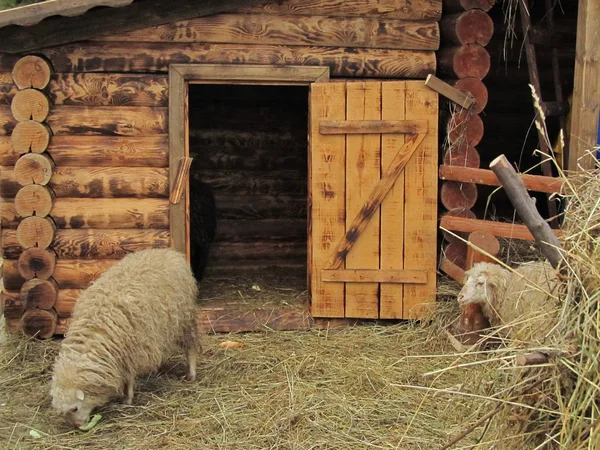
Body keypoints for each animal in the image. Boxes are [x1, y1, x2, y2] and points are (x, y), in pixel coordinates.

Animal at [49, 248, 199, 428]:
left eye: (74, 408)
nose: (78, 426)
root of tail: (169, 252)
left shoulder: (130, 351)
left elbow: (128, 378)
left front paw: (127, 399)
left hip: (184, 319)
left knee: (191, 347)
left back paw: (191, 374)